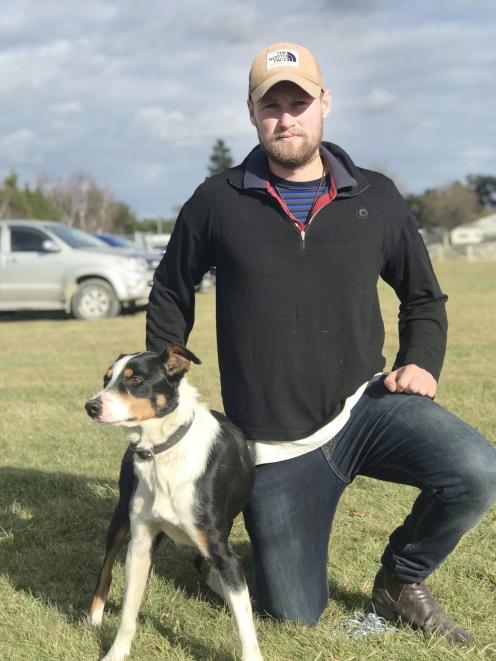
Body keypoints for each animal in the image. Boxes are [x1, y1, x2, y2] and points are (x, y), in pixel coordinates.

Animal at [85, 346, 264, 660]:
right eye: (107, 379)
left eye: (135, 380)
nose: (91, 406)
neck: (163, 451)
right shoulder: (140, 546)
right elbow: (128, 614)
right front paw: (115, 653)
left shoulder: (223, 551)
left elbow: (244, 621)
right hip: (121, 517)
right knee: (106, 568)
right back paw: (95, 616)